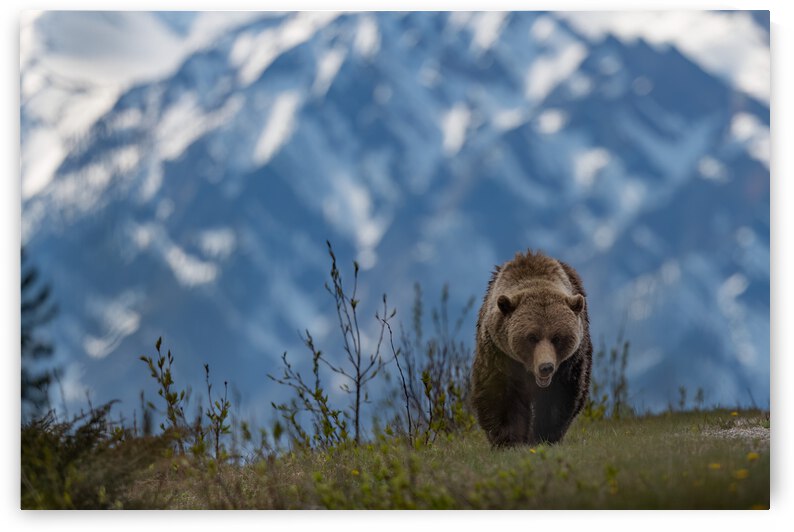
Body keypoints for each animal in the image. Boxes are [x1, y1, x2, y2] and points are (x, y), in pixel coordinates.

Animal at [470, 250, 592, 448]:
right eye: (531, 337)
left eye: (557, 337)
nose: (546, 367)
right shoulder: (500, 356)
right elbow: (500, 397)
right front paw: (508, 440)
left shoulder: (568, 365)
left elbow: (557, 400)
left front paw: (543, 437)